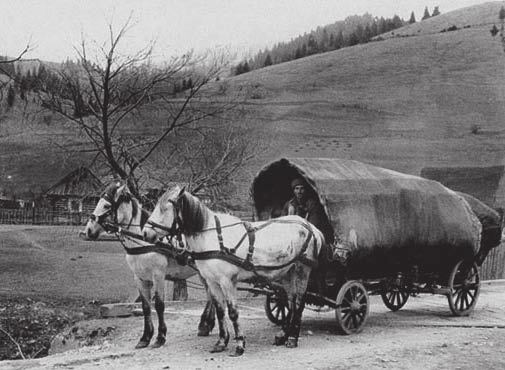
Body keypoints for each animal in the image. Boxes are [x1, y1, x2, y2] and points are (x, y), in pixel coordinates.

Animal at [82, 184, 215, 348]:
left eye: (106, 205)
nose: (88, 230)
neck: (143, 242)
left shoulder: (158, 276)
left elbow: (159, 305)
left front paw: (160, 337)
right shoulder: (139, 278)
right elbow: (146, 308)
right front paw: (145, 337)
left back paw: (206, 324)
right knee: (211, 294)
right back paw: (206, 325)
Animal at [143, 185, 322, 356]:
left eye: (164, 208)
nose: (145, 233)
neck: (213, 237)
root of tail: (311, 227)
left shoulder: (227, 281)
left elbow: (233, 312)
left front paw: (240, 344)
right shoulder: (212, 282)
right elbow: (221, 311)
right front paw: (221, 342)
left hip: (302, 269)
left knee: (298, 302)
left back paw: (292, 338)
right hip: (287, 272)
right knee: (290, 301)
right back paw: (284, 334)